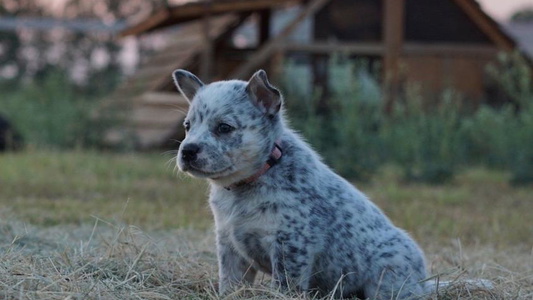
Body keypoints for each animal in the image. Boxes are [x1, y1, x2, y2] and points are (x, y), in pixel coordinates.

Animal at [174, 69, 428, 298]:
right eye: (187, 126)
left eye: (224, 127)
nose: (188, 150)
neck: (242, 188)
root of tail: (424, 281)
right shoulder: (229, 245)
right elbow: (230, 283)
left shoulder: (291, 245)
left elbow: (284, 286)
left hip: (388, 275)